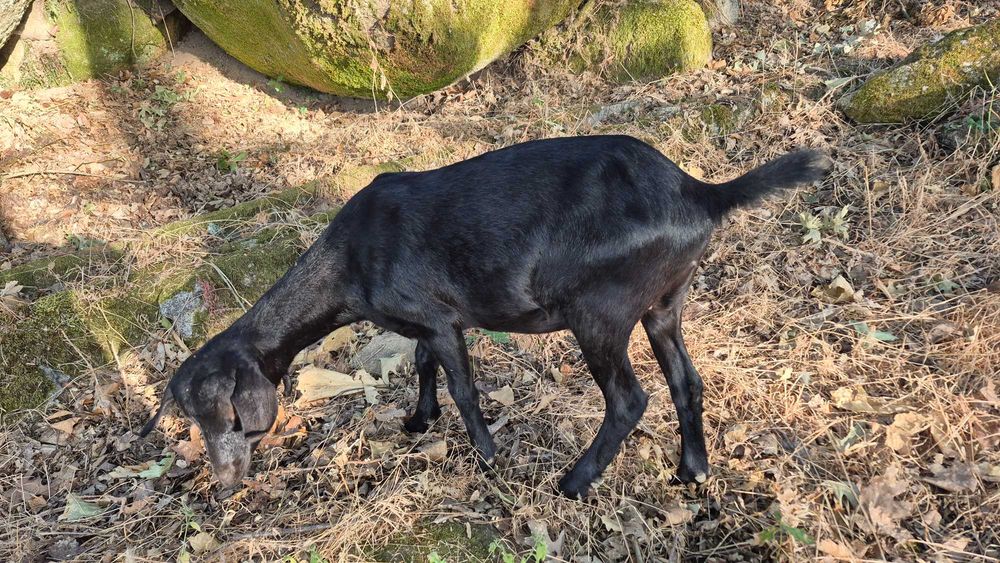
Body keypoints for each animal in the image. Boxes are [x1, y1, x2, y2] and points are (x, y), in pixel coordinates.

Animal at [140, 135, 831, 497]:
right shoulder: (429, 323)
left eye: (231, 416)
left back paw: (574, 481)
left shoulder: (443, 320)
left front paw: (488, 456)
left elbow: (463, 387)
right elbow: (422, 365)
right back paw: (692, 471)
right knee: (687, 380)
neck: (351, 259)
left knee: (630, 399)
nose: (224, 482)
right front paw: (419, 421)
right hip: (665, 302)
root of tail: (699, 192)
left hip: (599, 311)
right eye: (193, 420)